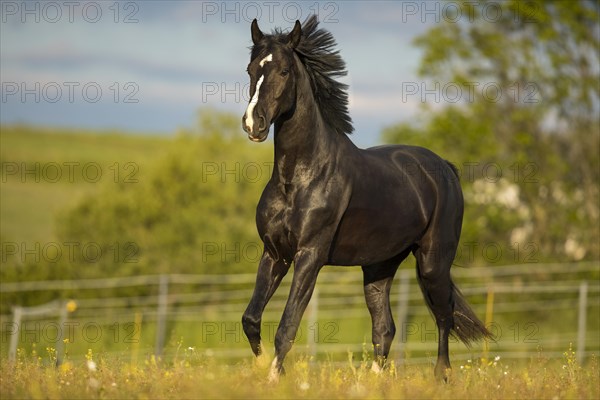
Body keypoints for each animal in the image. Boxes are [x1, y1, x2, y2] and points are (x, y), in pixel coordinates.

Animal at [241, 17, 490, 382]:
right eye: (250, 70)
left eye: (285, 71)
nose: (252, 124)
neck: (299, 177)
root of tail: (445, 167)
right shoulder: (275, 254)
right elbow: (251, 319)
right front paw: (264, 372)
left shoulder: (309, 256)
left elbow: (286, 326)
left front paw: (274, 380)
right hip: (379, 266)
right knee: (384, 328)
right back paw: (373, 382)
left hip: (433, 261)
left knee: (444, 316)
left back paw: (441, 377)